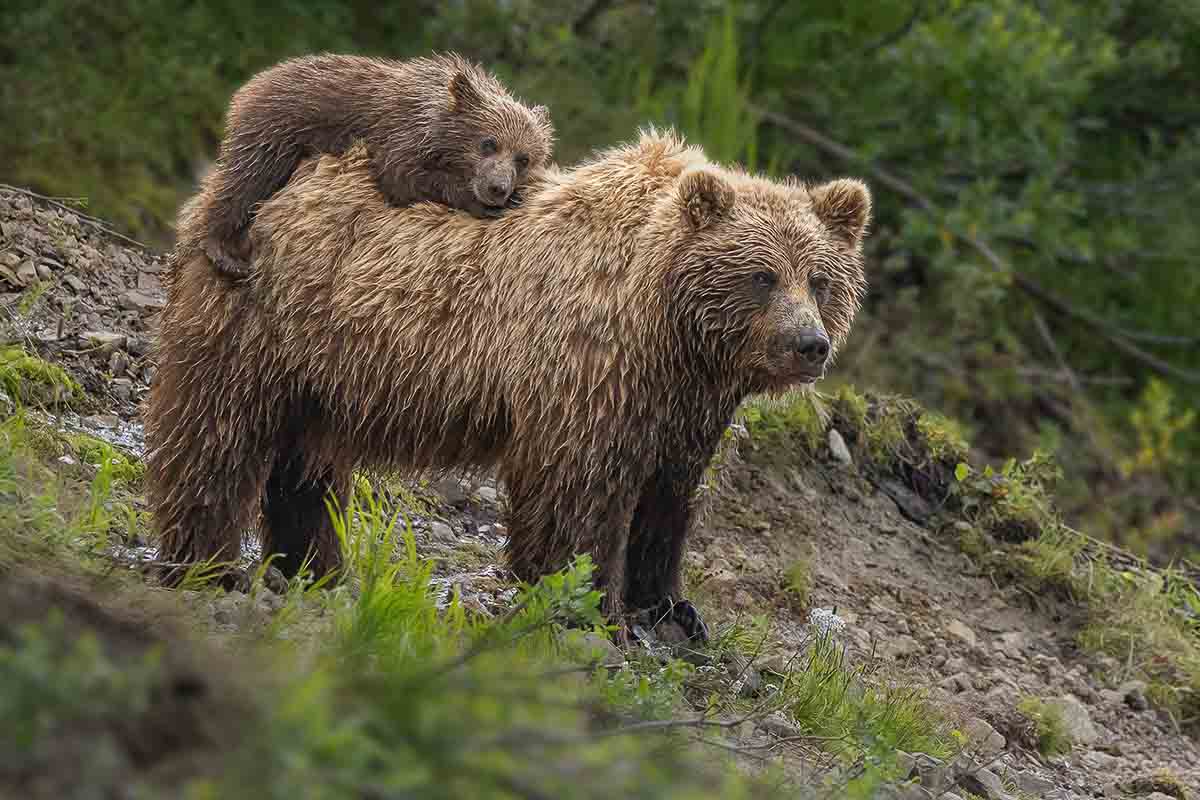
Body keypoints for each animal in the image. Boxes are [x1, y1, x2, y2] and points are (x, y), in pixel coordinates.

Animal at [145, 131, 868, 642]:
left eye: (820, 278)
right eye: (762, 277)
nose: (809, 344)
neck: (670, 330)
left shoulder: (684, 408)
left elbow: (667, 500)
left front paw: (674, 611)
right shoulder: (590, 372)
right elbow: (576, 491)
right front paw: (591, 608)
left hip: (323, 373)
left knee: (306, 465)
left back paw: (314, 569)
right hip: (259, 321)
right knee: (216, 434)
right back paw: (209, 566)